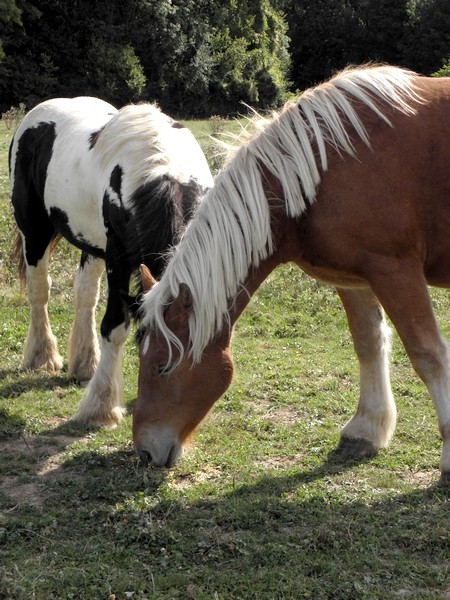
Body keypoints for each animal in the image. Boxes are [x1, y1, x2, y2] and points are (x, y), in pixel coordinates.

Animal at [9, 96, 213, 426]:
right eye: (158, 363)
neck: (164, 176)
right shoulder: (119, 259)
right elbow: (115, 326)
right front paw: (101, 407)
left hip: (91, 244)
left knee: (85, 294)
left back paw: (84, 364)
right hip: (35, 232)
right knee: (39, 291)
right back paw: (43, 356)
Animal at [135, 64, 450, 482]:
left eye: (164, 366)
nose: (144, 451)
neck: (324, 165)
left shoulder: (396, 271)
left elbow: (428, 354)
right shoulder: (355, 279)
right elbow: (368, 343)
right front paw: (367, 429)